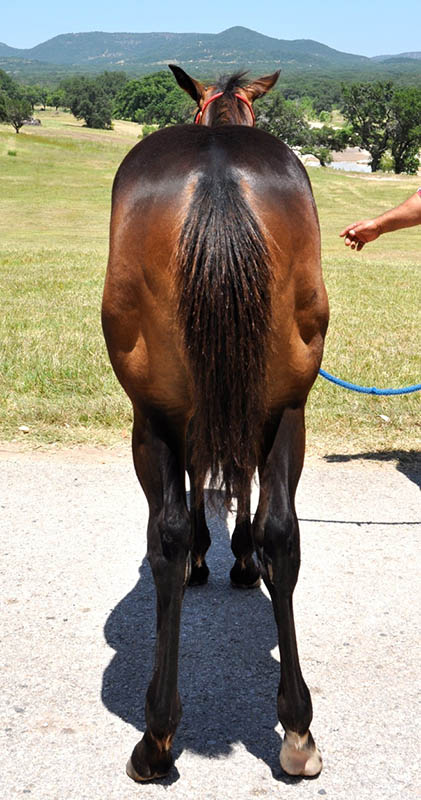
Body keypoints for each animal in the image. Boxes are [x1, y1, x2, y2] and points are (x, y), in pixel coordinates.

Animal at [101, 67, 328, 780]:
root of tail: (218, 177)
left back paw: (156, 736)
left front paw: (218, 555)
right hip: (289, 406)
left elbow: (204, 484)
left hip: (151, 416)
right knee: (285, 532)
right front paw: (239, 556)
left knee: (167, 537)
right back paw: (298, 729)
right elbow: (245, 482)